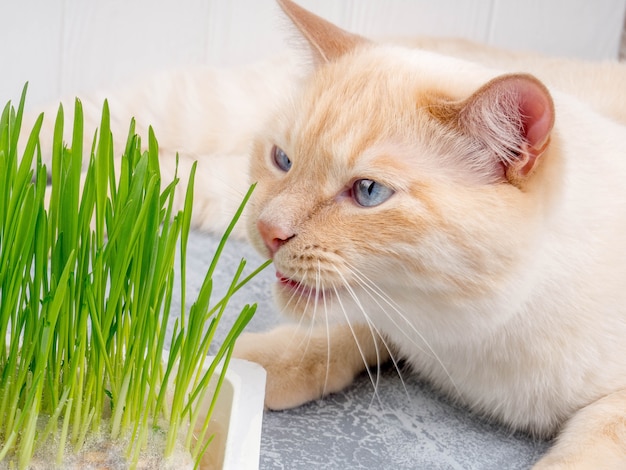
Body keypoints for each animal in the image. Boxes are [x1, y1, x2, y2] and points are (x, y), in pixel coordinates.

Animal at [26, 0, 624, 468]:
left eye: (368, 192)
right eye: (283, 160)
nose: (269, 232)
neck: (469, 347)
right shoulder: (385, 317)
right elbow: (314, 341)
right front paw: (205, 377)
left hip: (212, 186)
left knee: (140, 180)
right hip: (193, 126)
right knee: (75, 135)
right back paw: (36, 199)